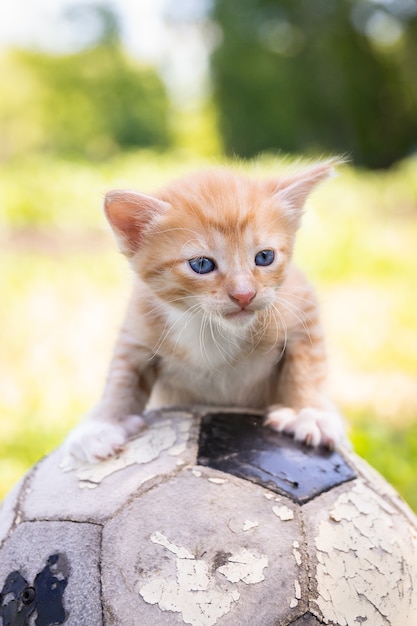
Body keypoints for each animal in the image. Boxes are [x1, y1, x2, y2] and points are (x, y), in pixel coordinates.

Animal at [64, 161, 344, 464]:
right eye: (201, 264)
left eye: (264, 257)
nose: (244, 294)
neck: (209, 326)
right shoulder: (138, 324)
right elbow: (122, 376)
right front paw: (103, 423)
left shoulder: (302, 306)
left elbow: (307, 366)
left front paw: (310, 413)